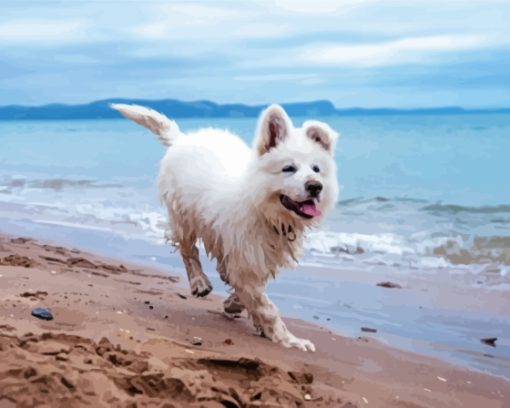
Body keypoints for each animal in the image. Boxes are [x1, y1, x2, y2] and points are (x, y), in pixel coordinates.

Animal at [110, 103, 338, 350]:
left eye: (316, 169)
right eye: (288, 168)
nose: (315, 187)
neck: (262, 208)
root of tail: (182, 139)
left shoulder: (255, 256)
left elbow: (249, 289)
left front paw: (235, 304)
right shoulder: (245, 255)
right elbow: (266, 306)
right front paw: (289, 339)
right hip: (183, 215)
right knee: (188, 250)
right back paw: (199, 281)